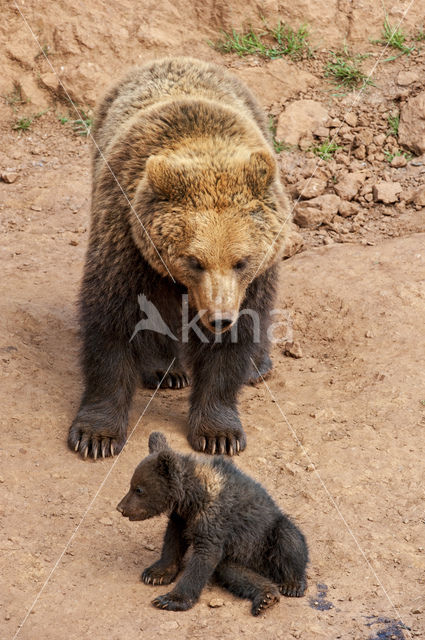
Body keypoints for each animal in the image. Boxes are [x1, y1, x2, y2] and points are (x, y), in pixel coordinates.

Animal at [68, 57, 290, 458]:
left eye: (241, 260)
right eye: (194, 260)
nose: (218, 318)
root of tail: (176, 58)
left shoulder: (252, 278)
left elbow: (236, 338)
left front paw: (219, 433)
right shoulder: (127, 240)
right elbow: (112, 323)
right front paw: (95, 436)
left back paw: (257, 365)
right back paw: (166, 370)